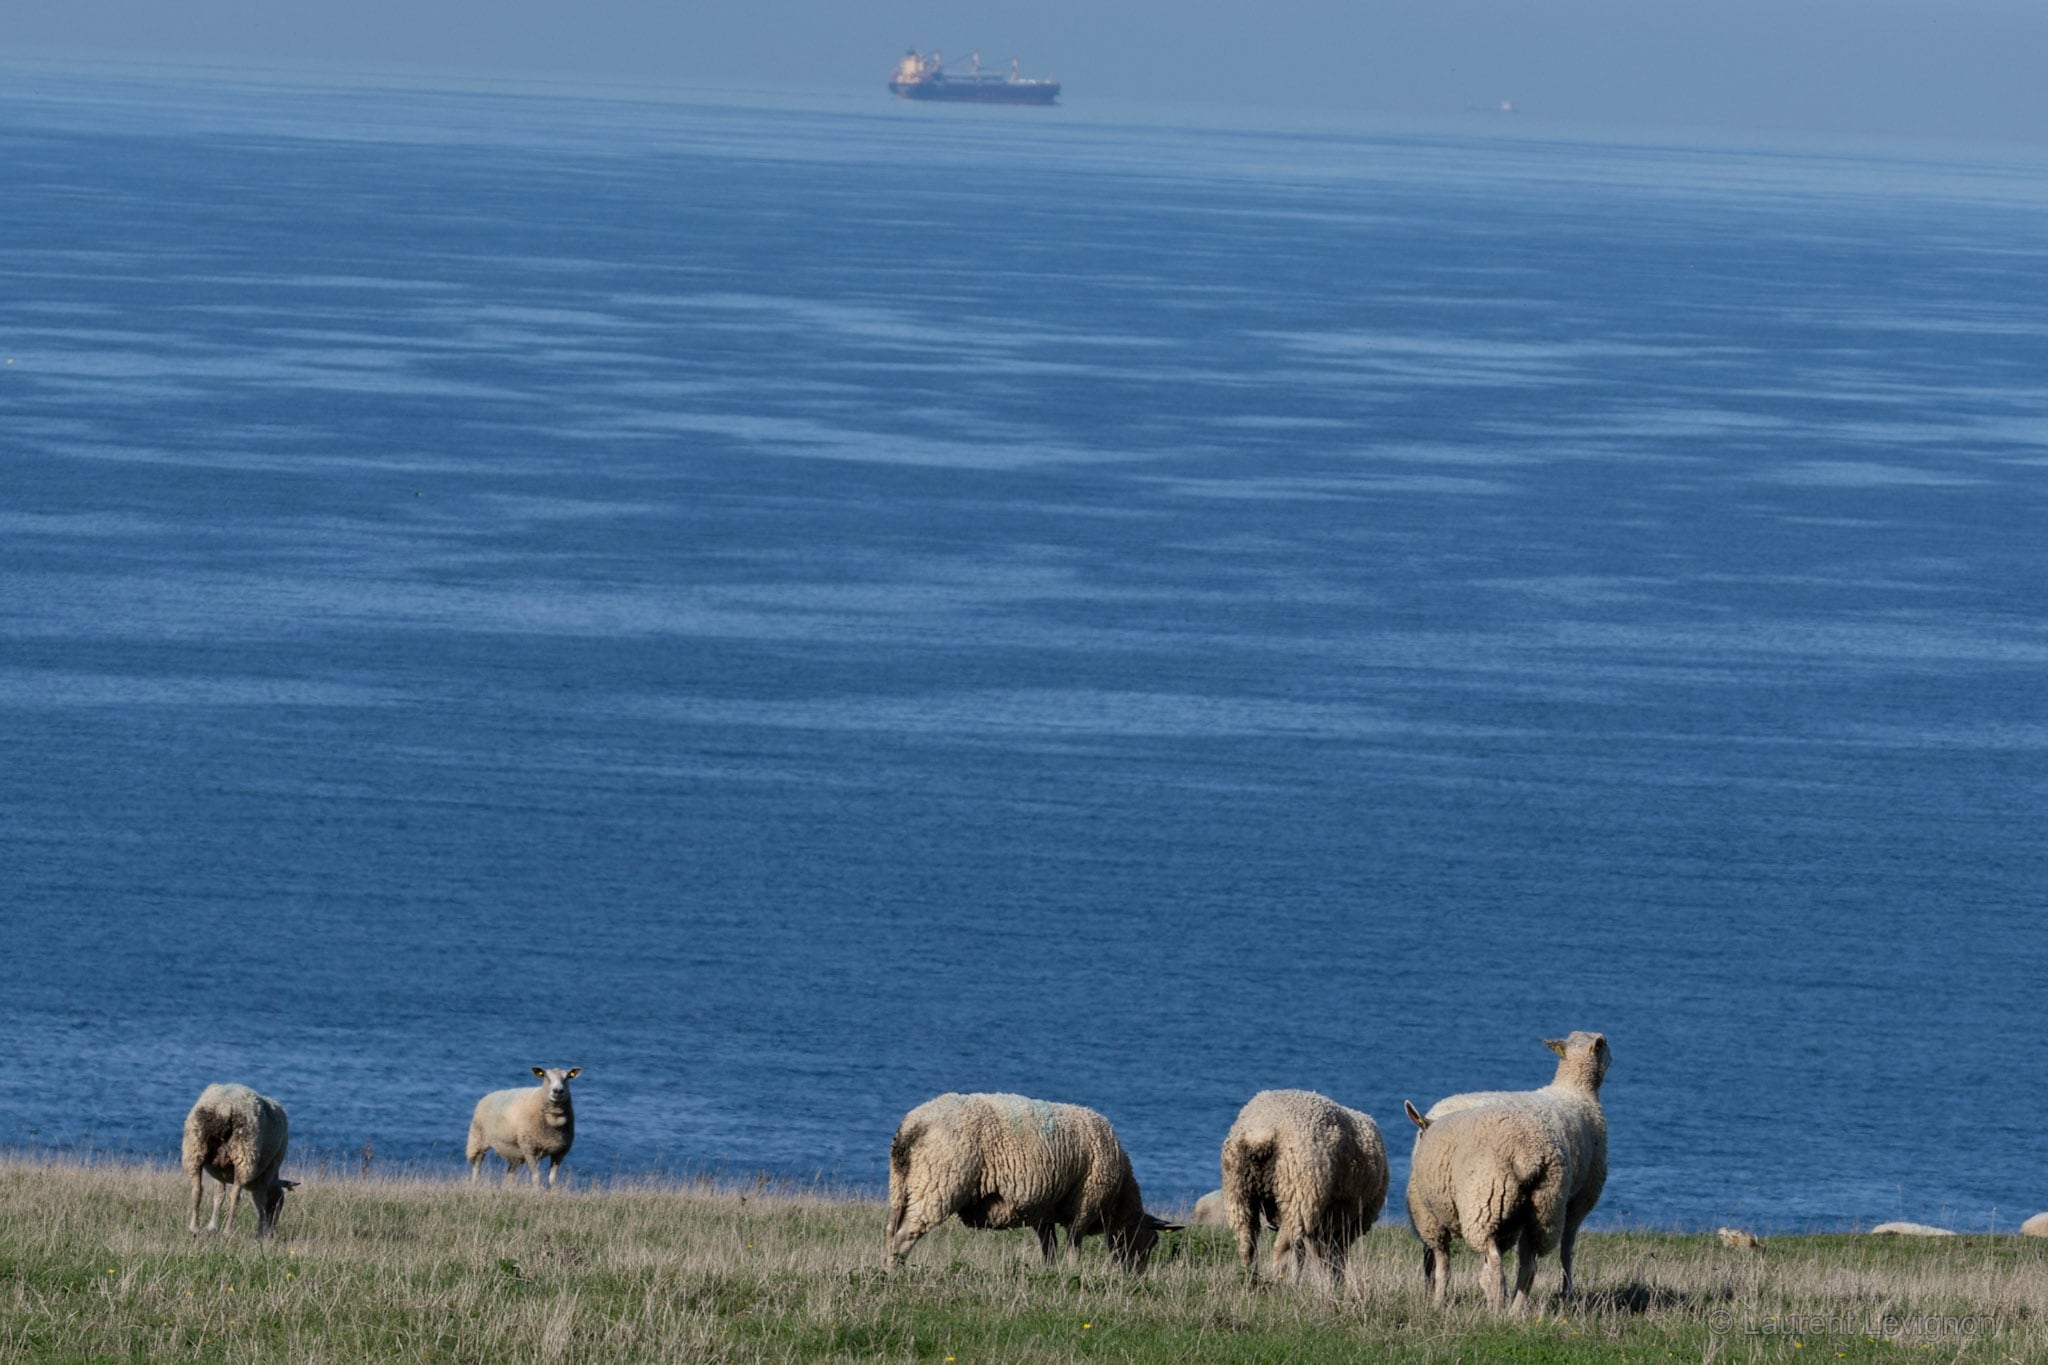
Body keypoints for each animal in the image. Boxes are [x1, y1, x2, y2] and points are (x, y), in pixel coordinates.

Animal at [182, 1083, 296, 1237]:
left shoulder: (219, 1172)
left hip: (194, 1149)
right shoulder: (268, 1172)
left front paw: (212, 1227)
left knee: (197, 1189)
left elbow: (219, 1196)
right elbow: (260, 1202)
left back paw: (194, 1228)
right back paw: (228, 1231)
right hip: (245, 1155)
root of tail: (224, 1107)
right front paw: (261, 1231)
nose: (273, 1231)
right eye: (279, 1203)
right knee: (235, 1196)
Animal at [885, 1092, 1179, 1272]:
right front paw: (1073, 1273)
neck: (1119, 1197)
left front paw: (1051, 1273)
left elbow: (1050, 1248)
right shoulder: (1085, 1205)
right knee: (905, 1235)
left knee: (891, 1231)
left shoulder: (1044, 1211)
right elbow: (1074, 1245)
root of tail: (912, 1126)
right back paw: (896, 1272)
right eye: (1150, 1243)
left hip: (901, 1186)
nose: (1134, 1277)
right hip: (939, 1183)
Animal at [1220, 1089, 1388, 1284]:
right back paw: (1281, 1282)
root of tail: (1261, 1132)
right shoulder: (1348, 1225)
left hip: (1238, 1193)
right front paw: (1333, 1283)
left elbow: (1309, 1254)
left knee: (1247, 1244)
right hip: (1299, 1197)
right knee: (1282, 1248)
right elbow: (1333, 1257)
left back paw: (1251, 1279)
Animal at [1402, 1031, 1610, 1312]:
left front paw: (1438, 1302)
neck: (1576, 1091)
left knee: (1506, 1259)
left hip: (1489, 1205)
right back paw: (1515, 1309)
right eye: (1605, 1046)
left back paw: (1503, 1306)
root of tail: (1527, 1155)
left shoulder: (1432, 1220)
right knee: (1532, 1261)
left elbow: (1443, 1265)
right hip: (1542, 1209)